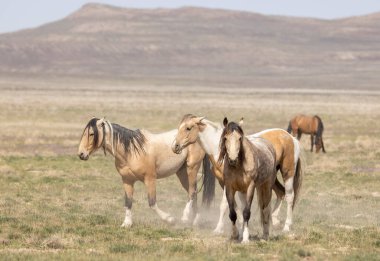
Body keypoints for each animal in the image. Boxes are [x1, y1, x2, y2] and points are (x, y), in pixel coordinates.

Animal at [77, 117, 215, 225]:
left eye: (92, 134)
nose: (81, 154)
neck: (132, 151)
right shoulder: (127, 180)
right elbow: (128, 202)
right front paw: (127, 223)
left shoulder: (150, 179)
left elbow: (152, 203)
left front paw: (169, 219)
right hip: (181, 173)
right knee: (193, 193)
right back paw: (193, 220)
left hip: (191, 168)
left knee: (192, 192)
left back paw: (187, 218)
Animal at [172, 114, 302, 232]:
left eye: (188, 128)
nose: (175, 146)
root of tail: (291, 138)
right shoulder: (225, 182)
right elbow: (234, 204)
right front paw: (240, 224)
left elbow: (224, 205)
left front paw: (218, 228)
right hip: (270, 178)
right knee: (281, 193)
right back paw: (274, 221)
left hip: (287, 173)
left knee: (289, 196)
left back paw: (287, 226)